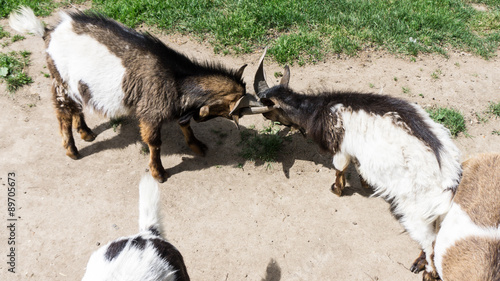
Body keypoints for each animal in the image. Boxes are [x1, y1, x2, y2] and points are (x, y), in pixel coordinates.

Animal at [10, 7, 260, 182]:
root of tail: (47, 32)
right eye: (236, 111)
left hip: (76, 85)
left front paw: (198, 146)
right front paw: (159, 174)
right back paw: (72, 151)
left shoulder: (177, 108)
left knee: (77, 106)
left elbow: (185, 124)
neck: (176, 78)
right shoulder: (150, 111)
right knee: (63, 113)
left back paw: (86, 133)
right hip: (60, 80)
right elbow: (154, 143)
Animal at [252, 49, 462, 278]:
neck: (319, 109)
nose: (263, 118)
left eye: (268, 109)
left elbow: (340, 167)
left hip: (416, 210)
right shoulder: (358, 151)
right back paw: (420, 262)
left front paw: (336, 189)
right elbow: (359, 166)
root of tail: (448, 180)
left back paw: (425, 271)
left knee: (430, 244)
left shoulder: (341, 147)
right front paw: (365, 183)